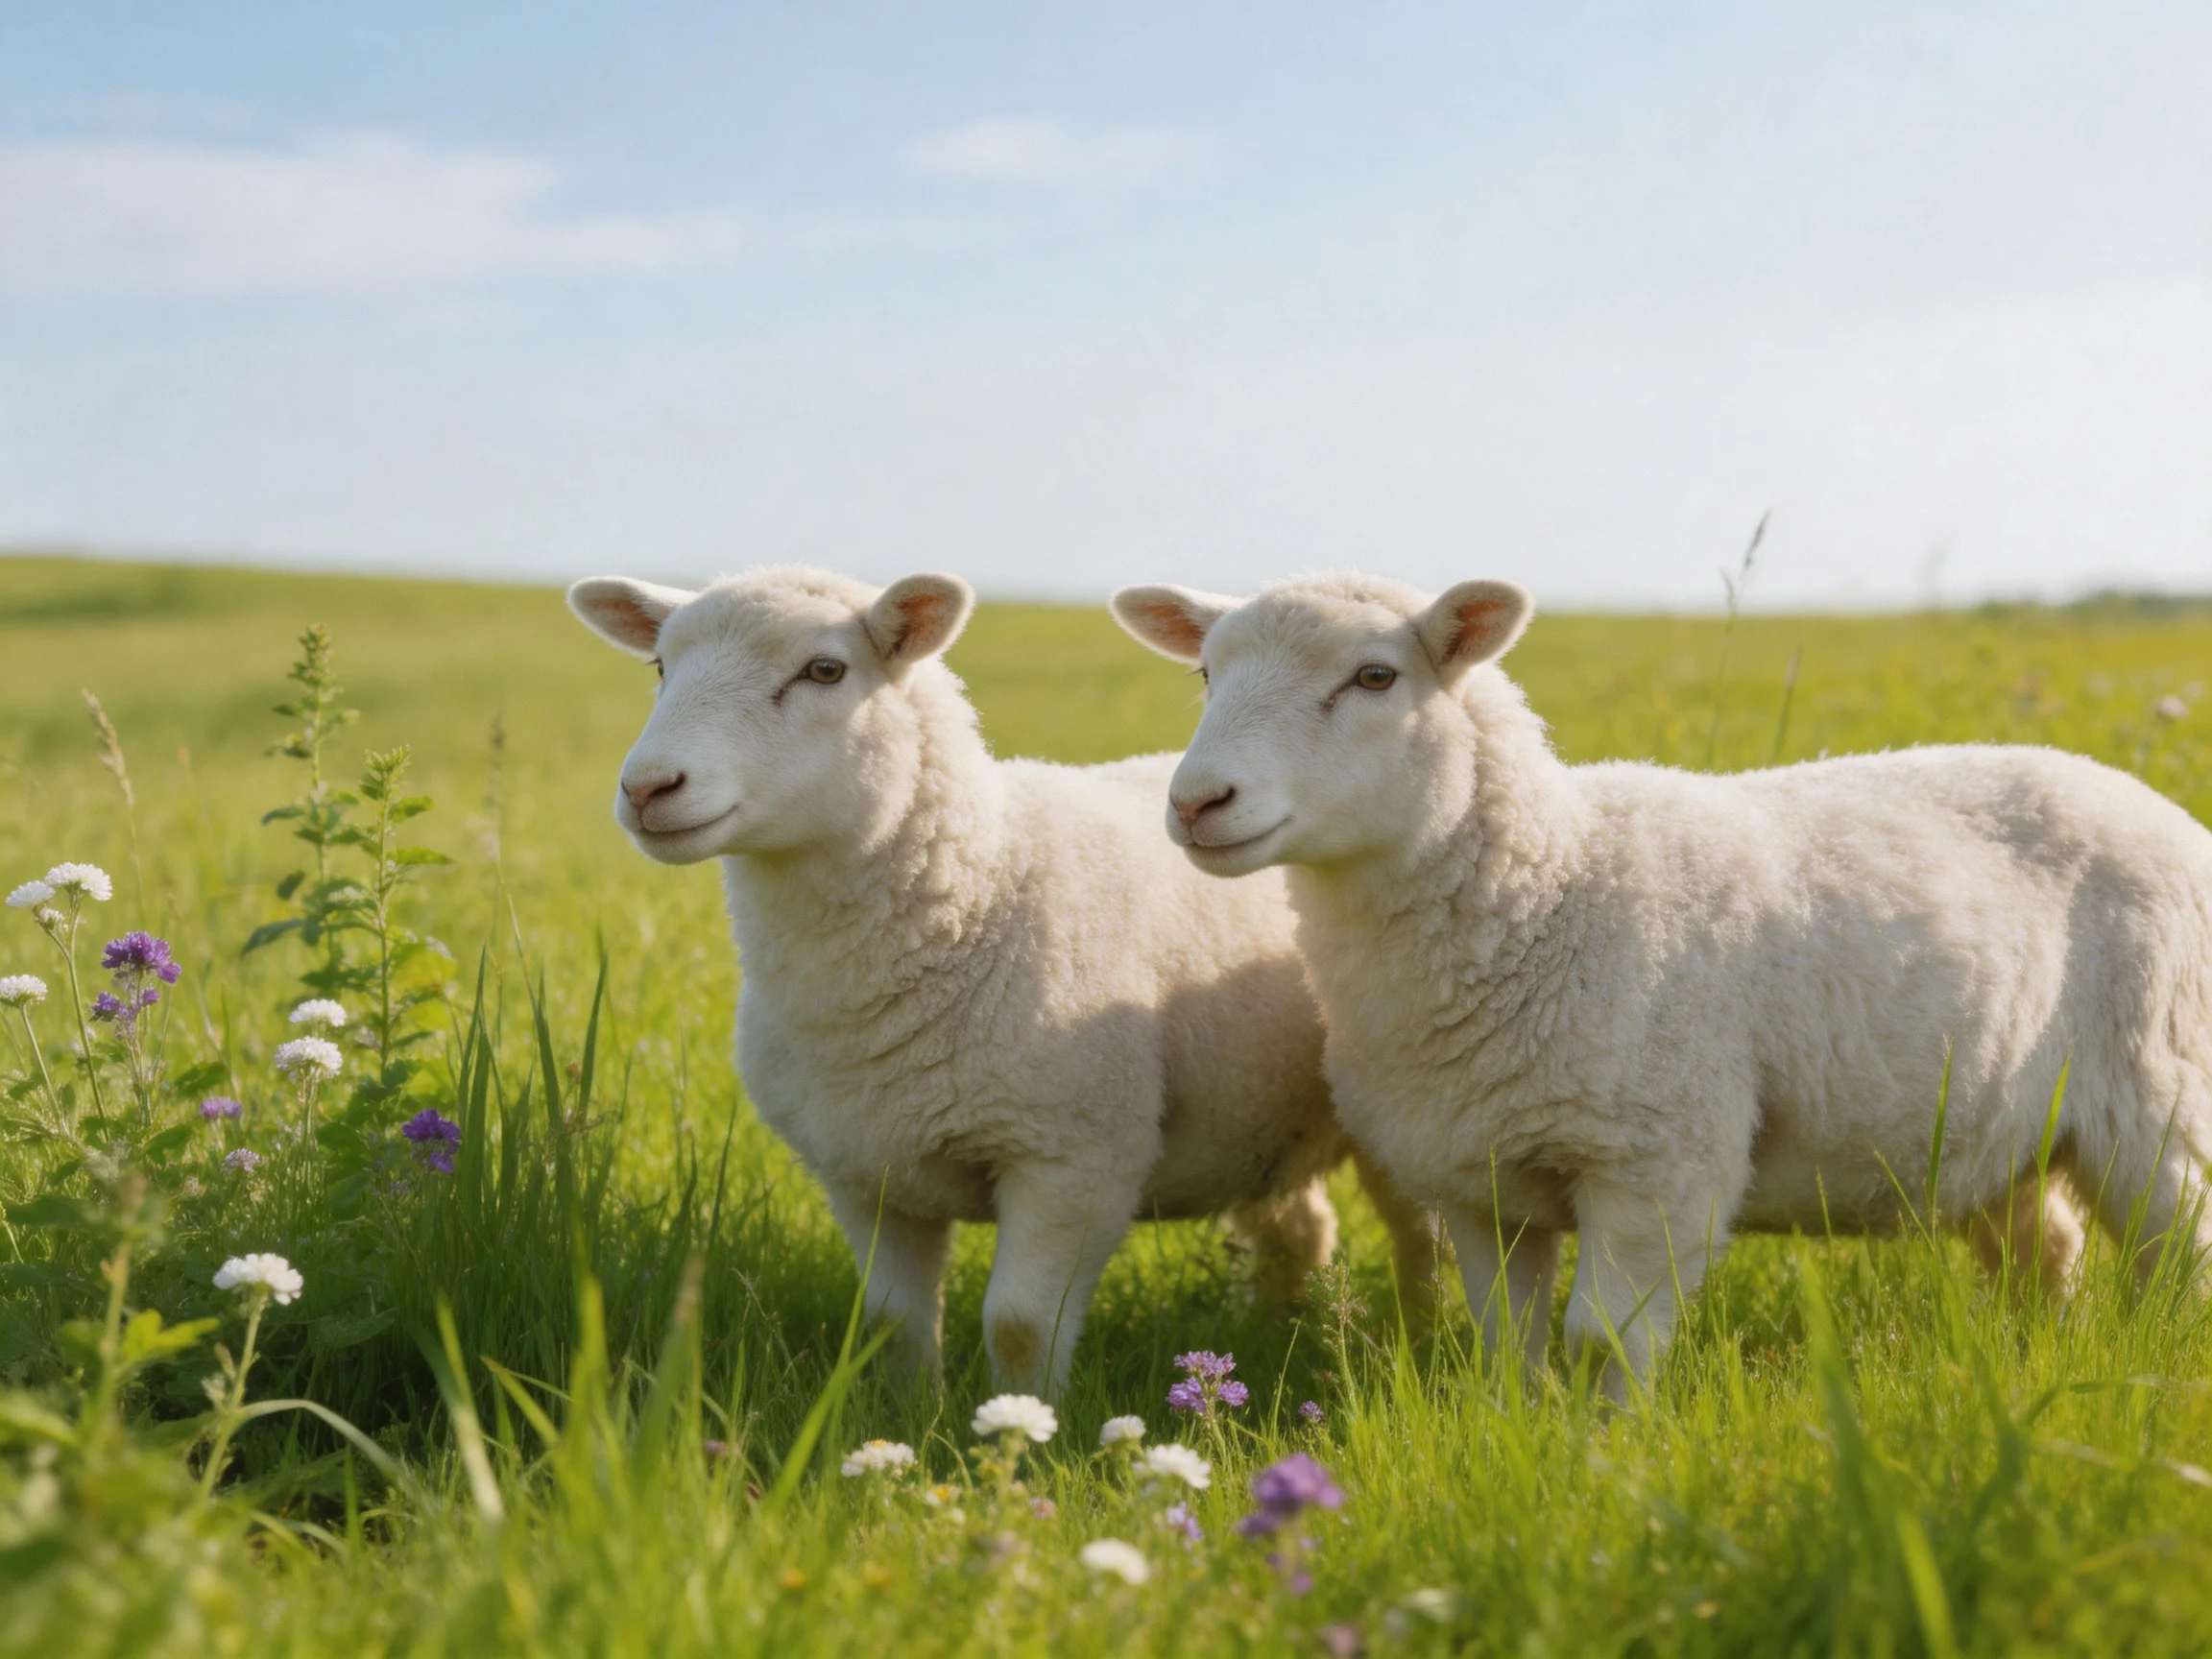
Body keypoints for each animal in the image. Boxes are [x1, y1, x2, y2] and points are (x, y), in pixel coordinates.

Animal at [566, 565, 1437, 1396]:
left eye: (824, 669)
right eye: (660, 666)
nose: (647, 788)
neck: (981, 880)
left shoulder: (1072, 1156)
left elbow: (1019, 1325)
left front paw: (1026, 1428)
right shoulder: (861, 1171)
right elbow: (889, 1322)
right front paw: (908, 1417)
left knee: (1415, 1235)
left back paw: (1417, 1341)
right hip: (1256, 1112)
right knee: (1299, 1229)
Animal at [1110, 571, 2212, 1394]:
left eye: (1375, 675)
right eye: (1205, 672)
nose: (1197, 801)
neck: (1551, 889)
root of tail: (2144, 796)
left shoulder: (1658, 1161)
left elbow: (1604, 1339)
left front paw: (1608, 1461)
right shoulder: (1479, 1180)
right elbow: (1507, 1342)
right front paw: (1519, 1439)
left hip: (2158, 1098)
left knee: (2181, 1254)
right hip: (2000, 1124)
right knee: (2046, 1248)